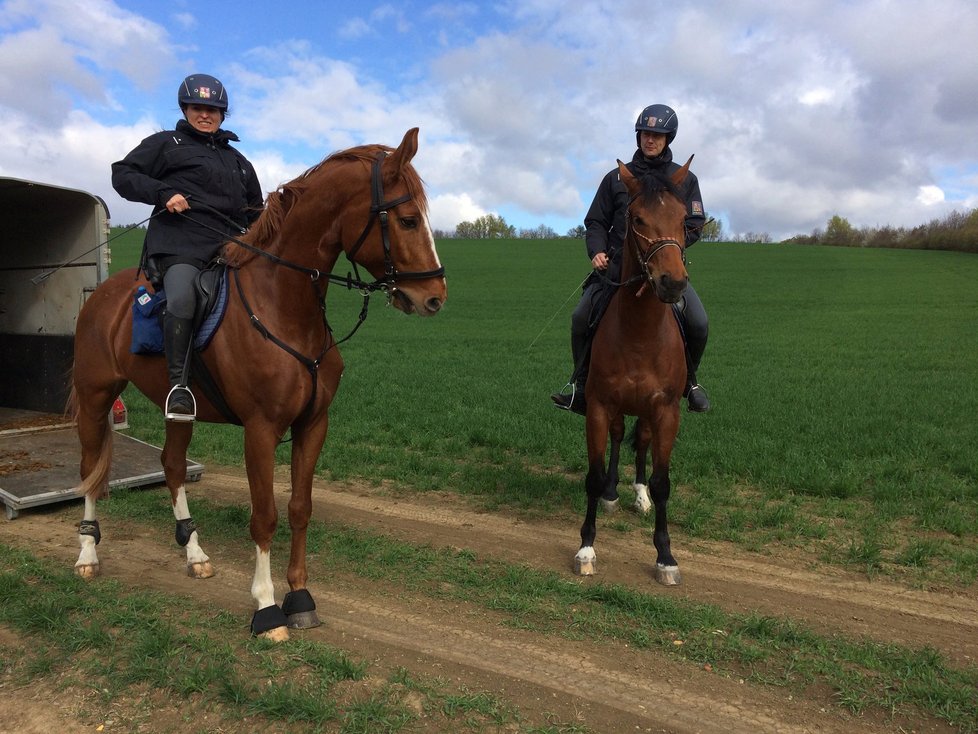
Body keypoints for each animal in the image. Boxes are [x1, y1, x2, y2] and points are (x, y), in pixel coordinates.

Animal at [69, 129, 446, 640]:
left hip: (177, 409)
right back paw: (88, 555)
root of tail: (101, 296)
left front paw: (300, 597)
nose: (434, 298)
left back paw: (194, 553)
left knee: (171, 465)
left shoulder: (313, 425)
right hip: (94, 397)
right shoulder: (261, 430)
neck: (283, 305)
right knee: (90, 469)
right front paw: (267, 609)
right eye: (407, 220)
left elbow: (300, 508)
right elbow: (265, 516)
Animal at [576, 158, 692, 588]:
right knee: (617, 437)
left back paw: (637, 496)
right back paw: (612, 494)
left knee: (640, 442)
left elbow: (662, 483)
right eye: (637, 218)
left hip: (647, 411)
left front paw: (665, 556)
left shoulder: (667, 411)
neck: (641, 332)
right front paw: (586, 548)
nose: (672, 282)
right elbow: (594, 475)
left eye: (684, 219)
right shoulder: (597, 406)